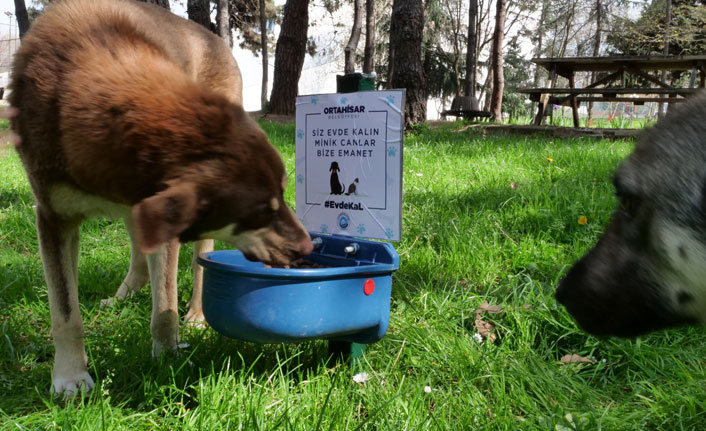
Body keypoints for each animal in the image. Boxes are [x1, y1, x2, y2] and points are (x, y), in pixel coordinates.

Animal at [9, 0, 312, 398]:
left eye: (283, 193)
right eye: (263, 209)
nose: (307, 249)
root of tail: (216, 40)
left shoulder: (167, 217)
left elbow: (164, 307)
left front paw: (168, 359)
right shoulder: (52, 216)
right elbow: (65, 312)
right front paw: (70, 376)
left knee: (200, 258)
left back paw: (196, 314)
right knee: (140, 257)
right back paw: (123, 295)